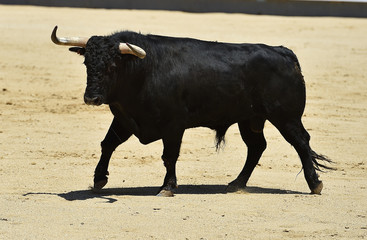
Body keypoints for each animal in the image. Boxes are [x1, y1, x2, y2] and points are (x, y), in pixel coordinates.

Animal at [51, 26, 334, 196]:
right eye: (87, 64)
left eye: (111, 66)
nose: (92, 98)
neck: (143, 70)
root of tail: (284, 53)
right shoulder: (125, 119)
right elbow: (107, 144)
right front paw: (99, 179)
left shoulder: (173, 125)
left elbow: (169, 156)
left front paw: (167, 187)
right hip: (250, 119)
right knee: (256, 147)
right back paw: (236, 183)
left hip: (286, 117)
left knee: (301, 142)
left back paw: (315, 184)